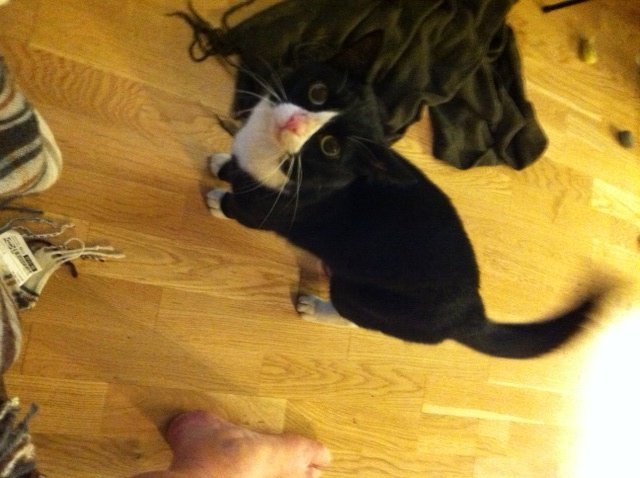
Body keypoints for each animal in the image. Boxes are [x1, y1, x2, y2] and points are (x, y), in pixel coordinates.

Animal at [206, 31, 597, 358]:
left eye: (330, 147)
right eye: (317, 92)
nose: (293, 123)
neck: (273, 153)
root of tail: (471, 314)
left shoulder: (268, 209)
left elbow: (238, 206)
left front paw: (216, 200)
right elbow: (235, 167)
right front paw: (223, 162)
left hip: (364, 296)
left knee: (357, 316)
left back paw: (316, 308)